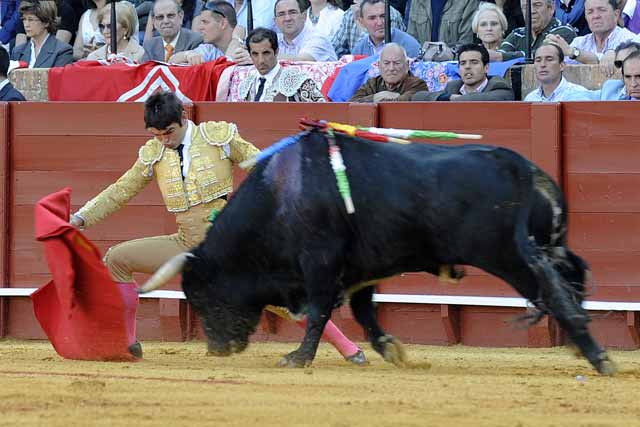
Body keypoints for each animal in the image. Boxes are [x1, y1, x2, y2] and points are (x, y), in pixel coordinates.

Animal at [141, 130, 616, 374]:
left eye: (201, 295)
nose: (217, 349)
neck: (281, 196)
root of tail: (521, 167)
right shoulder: (362, 267)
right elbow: (364, 310)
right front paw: (390, 349)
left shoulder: (320, 262)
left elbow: (319, 310)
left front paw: (298, 358)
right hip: (549, 244)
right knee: (574, 275)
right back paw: (584, 348)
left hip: (507, 255)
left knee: (552, 293)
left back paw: (599, 357)